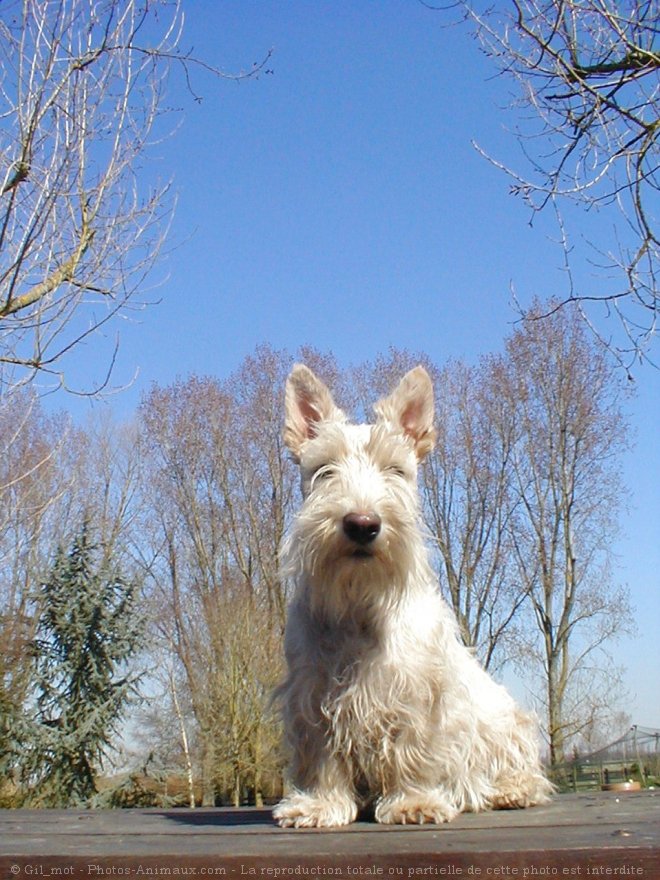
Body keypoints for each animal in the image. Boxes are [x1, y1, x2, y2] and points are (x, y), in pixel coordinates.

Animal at [272, 362, 552, 824]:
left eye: (395, 470)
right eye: (324, 469)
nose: (362, 524)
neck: (360, 605)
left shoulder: (418, 692)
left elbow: (413, 749)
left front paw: (413, 801)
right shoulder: (312, 693)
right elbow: (321, 756)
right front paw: (318, 803)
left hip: (505, 723)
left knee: (523, 768)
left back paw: (510, 790)